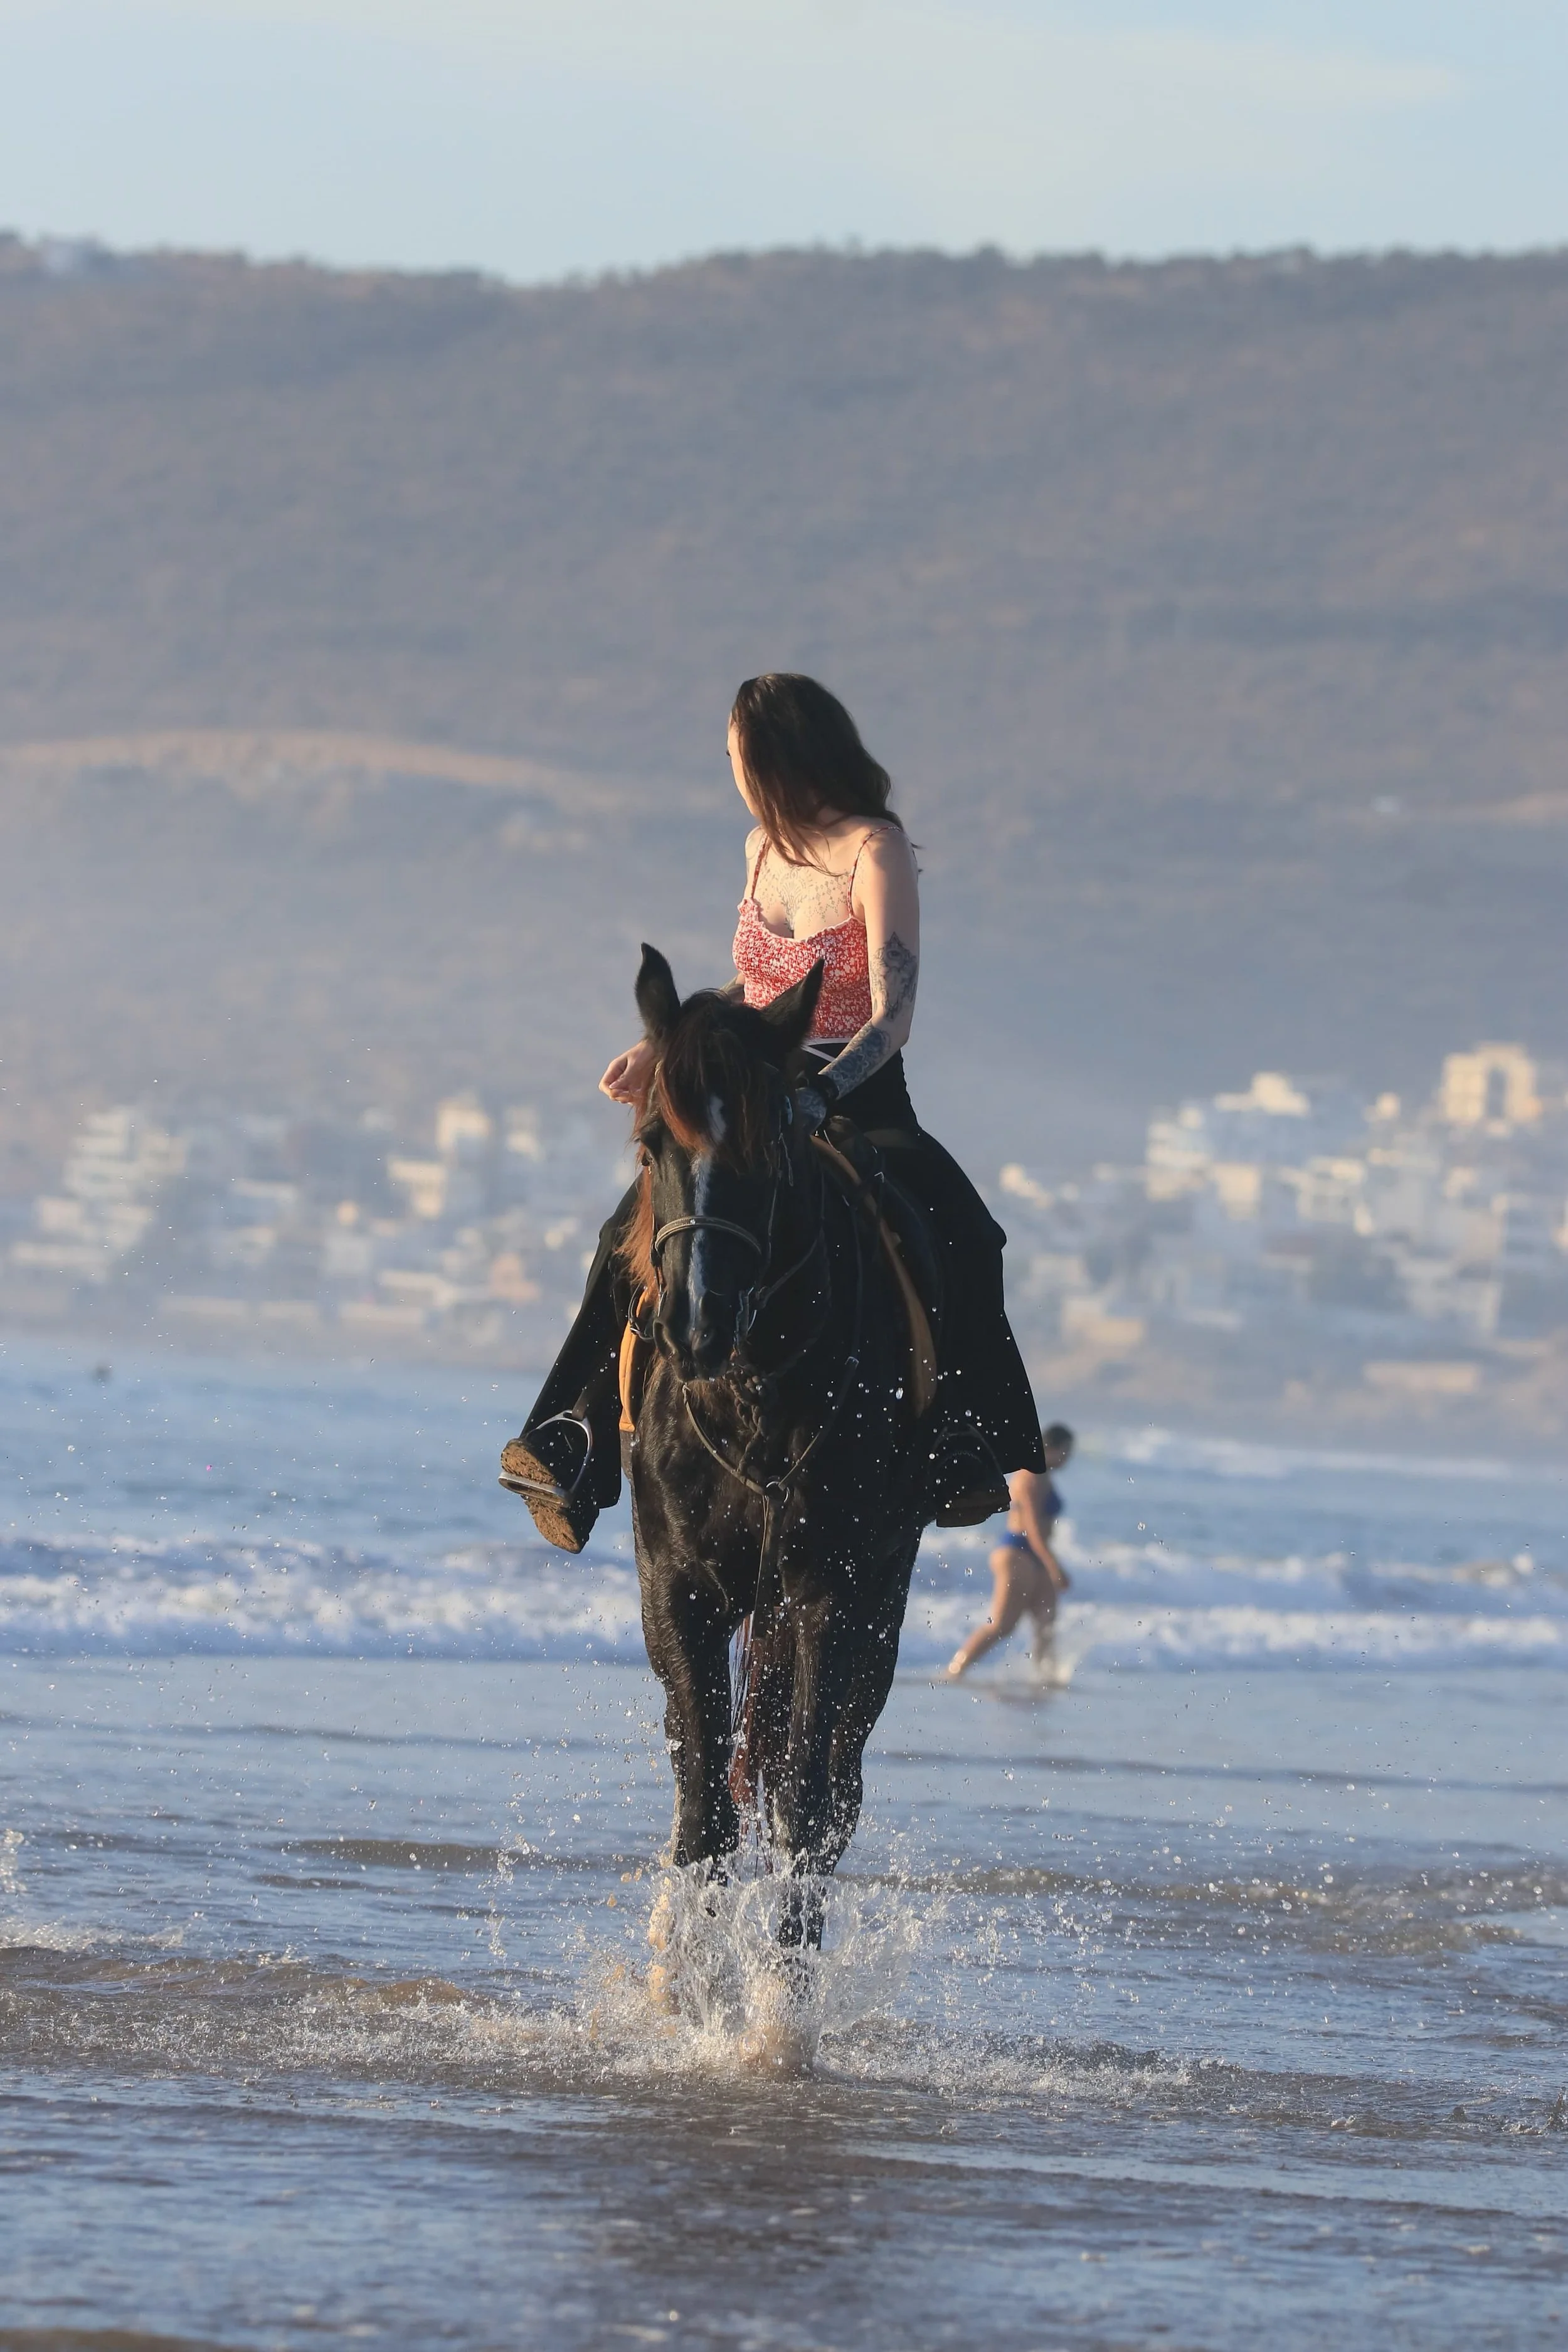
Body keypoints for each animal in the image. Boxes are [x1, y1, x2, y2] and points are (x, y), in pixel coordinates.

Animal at [623, 944, 931, 1955]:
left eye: (769, 1149)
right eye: (652, 1142)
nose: (694, 1324)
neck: (753, 1385)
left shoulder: (831, 1588)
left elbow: (802, 1809)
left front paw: (776, 1988)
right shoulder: (675, 1584)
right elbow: (704, 1811)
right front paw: (683, 1971)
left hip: (875, 1596)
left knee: (834, 1792)